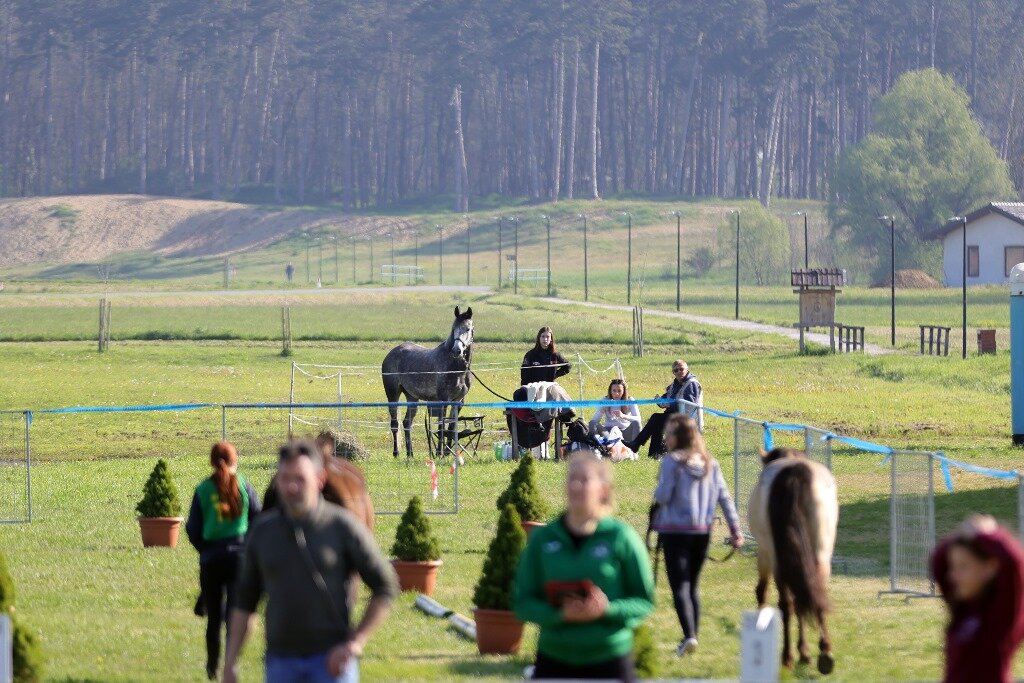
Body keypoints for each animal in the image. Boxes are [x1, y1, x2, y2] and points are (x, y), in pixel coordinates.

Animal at [382, 305, 473, 458]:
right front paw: (439, 454)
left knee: (407, 423)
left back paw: (410, 454)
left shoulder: (458, 401)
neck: (456, 368)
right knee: (395, 424)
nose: (457, 350)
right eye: (453, 328)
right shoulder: (443, 400)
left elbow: (451, 427)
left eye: (468, 328)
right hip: (393, 394)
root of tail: (392, 353)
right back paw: (396, 453)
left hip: (412, 397)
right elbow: (441, 426)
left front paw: (447, 453)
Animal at [745, 446, 839, 675]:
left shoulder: (765, 552)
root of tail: (795, 472)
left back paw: (787, 656)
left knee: (786, 604)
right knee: (812, 595)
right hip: (821, 555)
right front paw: (804, 651)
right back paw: (825, 653)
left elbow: (762, 590)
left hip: (778, 560)